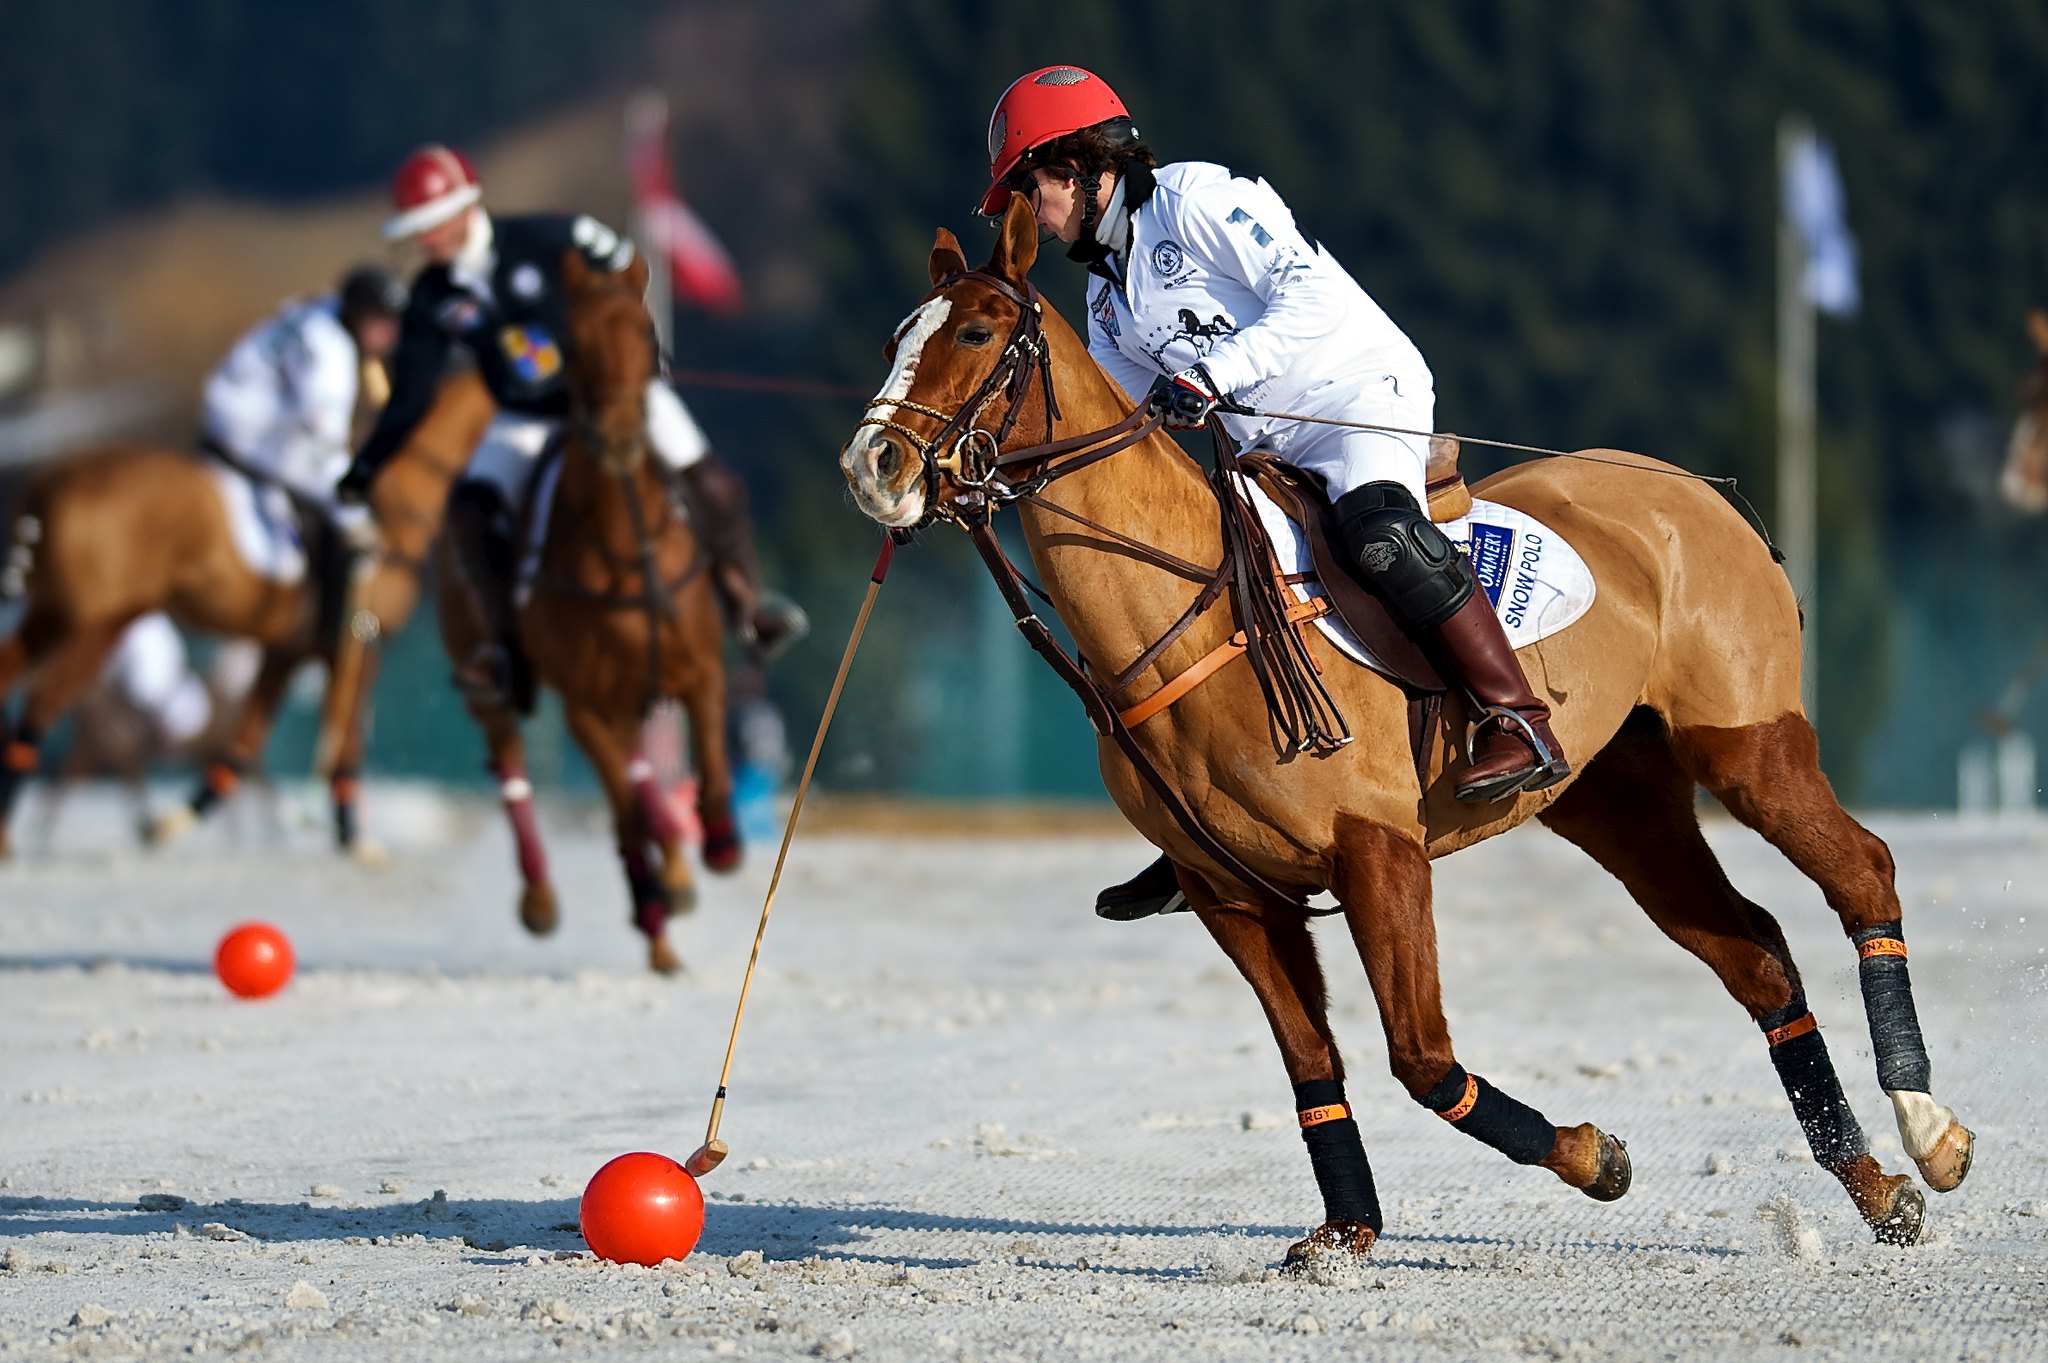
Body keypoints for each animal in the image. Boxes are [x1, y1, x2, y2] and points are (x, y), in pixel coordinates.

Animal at [0, 372, 485, 855]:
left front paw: (181, 820)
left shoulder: (288, 649)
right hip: (101, 624)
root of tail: (51, 482)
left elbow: (246, 741)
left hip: (52, 614)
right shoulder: (361, 643)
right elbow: (344, 741)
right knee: (41, 710)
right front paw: (353, 839)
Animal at [440, 251, 737, 978]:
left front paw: (718, 842)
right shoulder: (586, 706)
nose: (620, 435)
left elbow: (712, 760)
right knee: (513, 762)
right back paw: (555, 898)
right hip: (484, 672)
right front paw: (652, 906)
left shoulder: (700, 673)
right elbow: (624, 815)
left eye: (647, 333)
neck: (625, 549)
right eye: (570, 345)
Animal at [831, 196, 1966, 1260]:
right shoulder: (1229, 890)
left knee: (1861, 871)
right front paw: (1345, 1231)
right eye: (893, 334)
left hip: (1746, 742)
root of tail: (1697, 491)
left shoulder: (1379, 852)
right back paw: (1876, 1190)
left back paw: (1930, 1132)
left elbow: (1420, 1057)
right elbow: (1311, 1062)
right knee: (1753, 952)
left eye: (979, 332)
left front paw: (1594, 1157)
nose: (872, 465)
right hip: (1617, 799)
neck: (1185, 608)